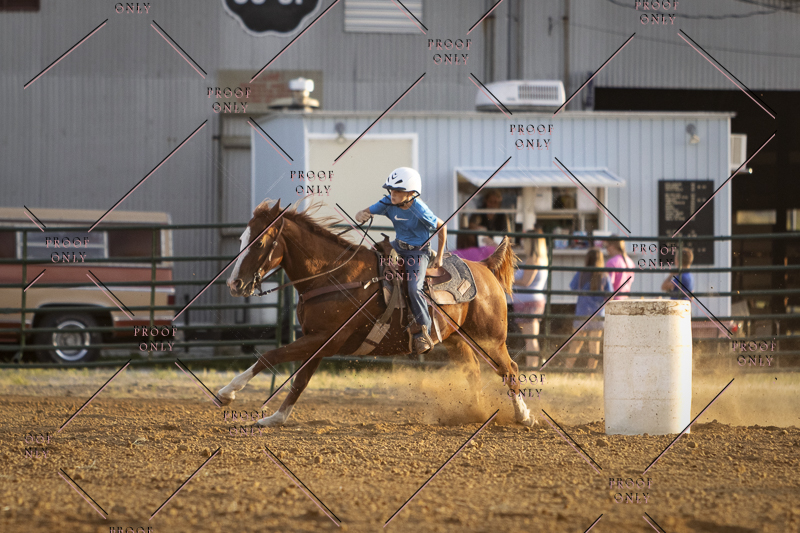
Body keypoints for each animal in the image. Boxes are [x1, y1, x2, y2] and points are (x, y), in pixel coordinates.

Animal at [218, 199, 535, 428]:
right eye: (241, 238)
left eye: (259, 242)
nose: (234, 284)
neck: (332, 275)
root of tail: (484, 267)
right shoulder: (318, 341)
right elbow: (301, 380)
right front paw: (276, 418)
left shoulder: (324, 339)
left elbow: (271, 356)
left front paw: (227, 393)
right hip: (457, 339)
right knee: (473, 372)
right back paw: (476, 413)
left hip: (491, 339)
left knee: (510, 370)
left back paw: (524, 416)